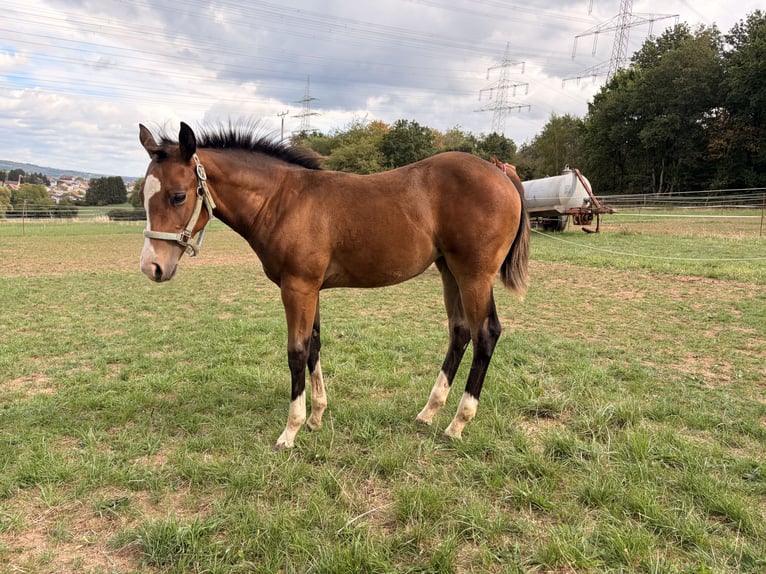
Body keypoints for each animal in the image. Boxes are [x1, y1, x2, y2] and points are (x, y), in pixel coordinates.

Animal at [138, 121, 530, 450]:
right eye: (143, 196)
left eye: (178, 195)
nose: (152, 267)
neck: (283, 201)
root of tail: (501, 174)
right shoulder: (311, 289)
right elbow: (314, 344)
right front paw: (316, 418)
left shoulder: (297, 288)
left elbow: (297, 352)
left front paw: (290, 431)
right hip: (450, 271)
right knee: (460, 332)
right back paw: (428, 413)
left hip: (474, 275)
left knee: (486, 334)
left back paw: (458, 424)